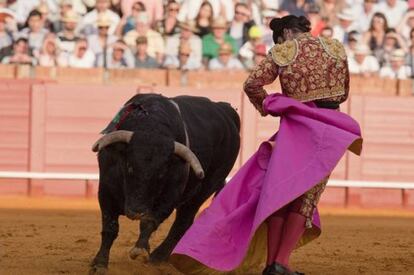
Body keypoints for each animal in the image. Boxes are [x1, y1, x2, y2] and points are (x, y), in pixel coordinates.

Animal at [89, 94, 241, 274]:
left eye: (161, 174)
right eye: (129, 166)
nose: (137, 212)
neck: (152, 127)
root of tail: (226, 110)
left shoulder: (169, 198)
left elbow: (149, 222)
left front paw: (140, 250)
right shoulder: (106, 192)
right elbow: (110, 228)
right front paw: (99, 263)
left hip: (204, 189)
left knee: (183, 222)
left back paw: (158, 256)